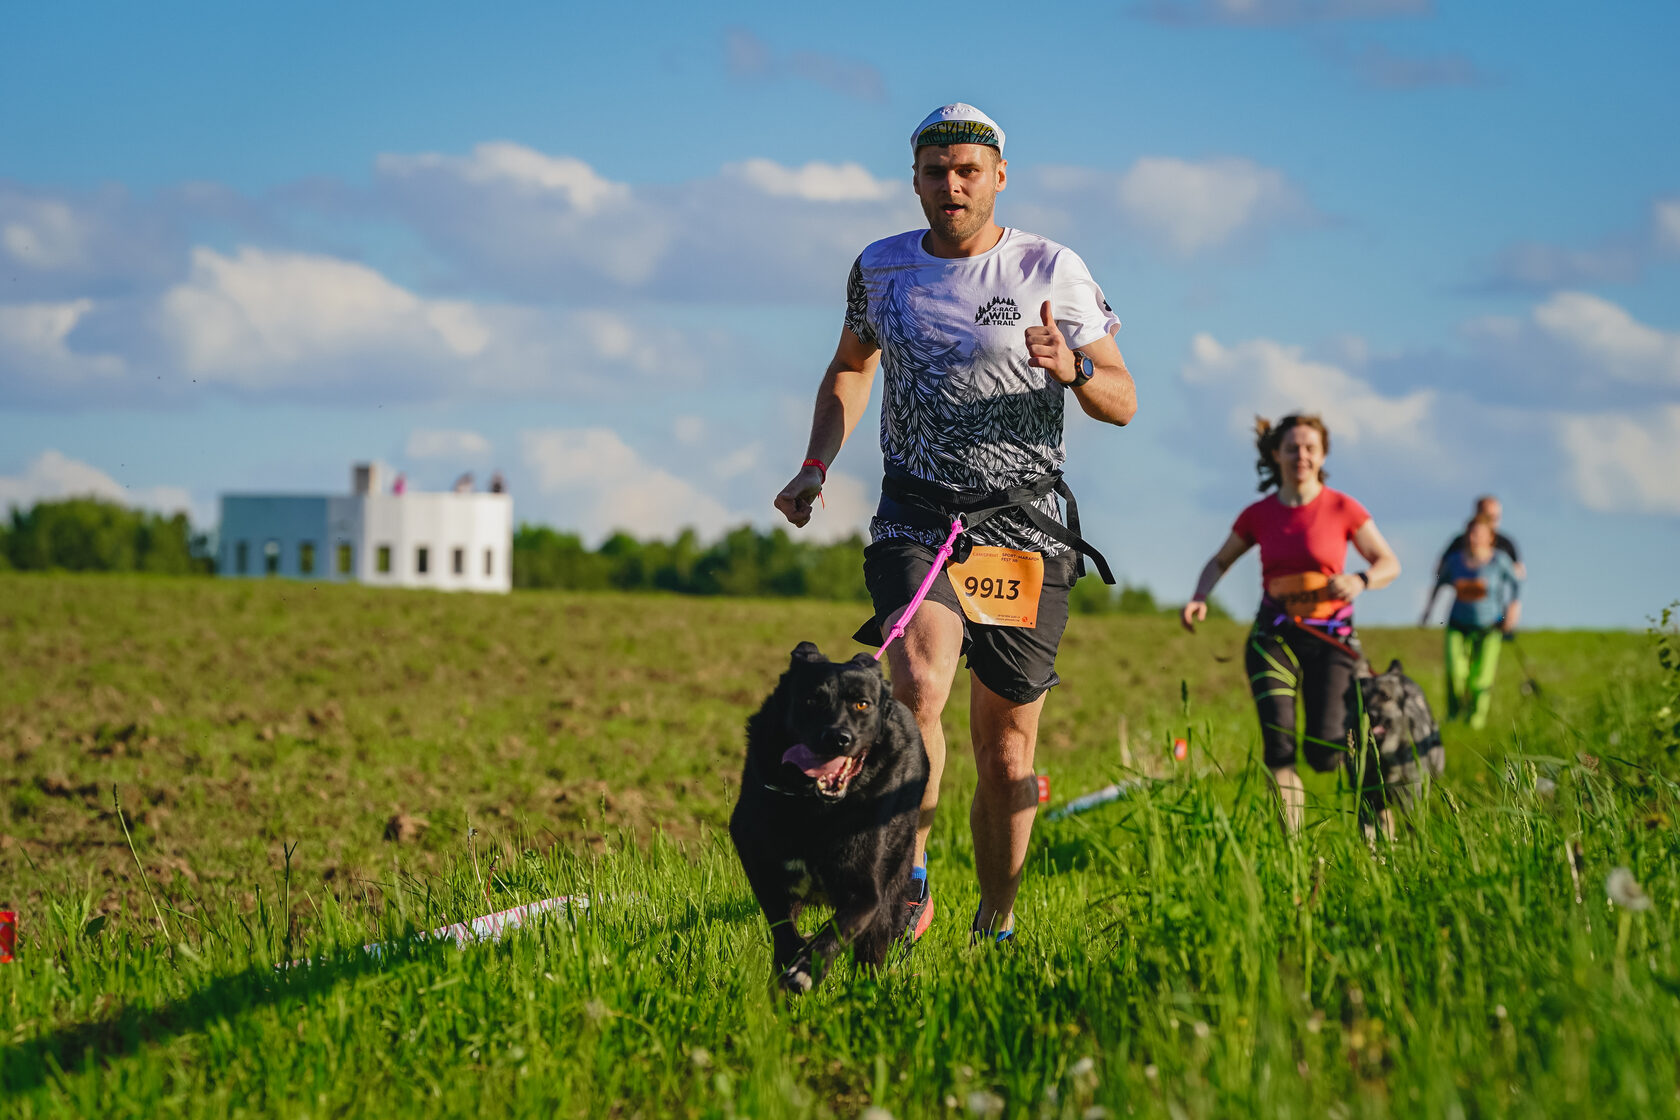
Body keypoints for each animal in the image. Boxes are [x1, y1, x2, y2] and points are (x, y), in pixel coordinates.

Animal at [725, 644, 927, 994]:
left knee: (870, 957)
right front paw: (793, 959)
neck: (815, 809)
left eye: (862, 703)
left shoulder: (867, 894)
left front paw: (807, 967)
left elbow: (837, 928)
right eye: (813, 699)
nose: (838, 738)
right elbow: (782, 928)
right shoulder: (760, 865)